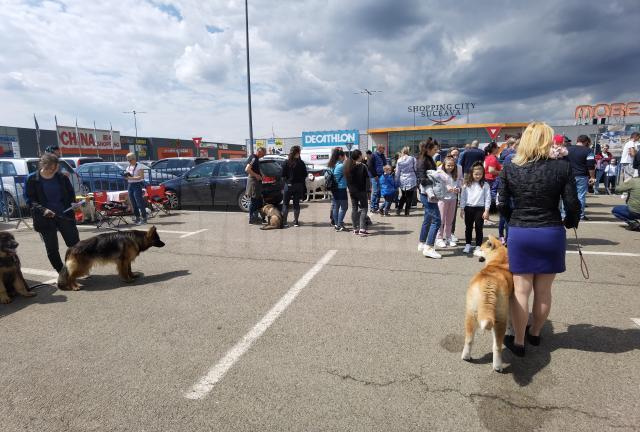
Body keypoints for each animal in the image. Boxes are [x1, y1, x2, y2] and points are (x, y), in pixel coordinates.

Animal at [460, 235, 516, 372]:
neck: (499, 263)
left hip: (471, 313)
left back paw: (466, 356)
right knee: (497, 346)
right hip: (500, 317)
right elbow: (511, 320)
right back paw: (498, 366)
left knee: (469, 339)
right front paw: (511, 331)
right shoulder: (511, 301)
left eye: (481, 249)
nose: (474, 250)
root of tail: (489, 283)